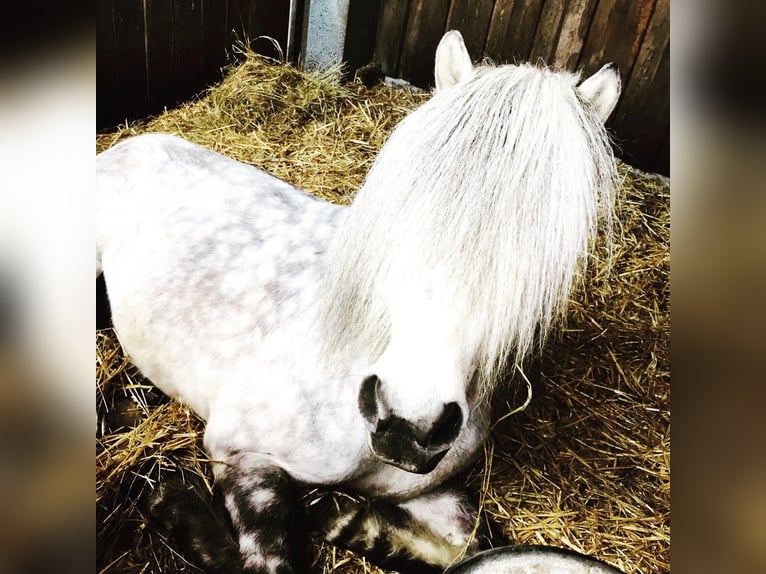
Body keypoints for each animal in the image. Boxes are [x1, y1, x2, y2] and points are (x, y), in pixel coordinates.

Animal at [96, 30, 624, 574]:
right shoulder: (241, 452)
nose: (410, 423)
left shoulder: (426, 489)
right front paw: (171, 501)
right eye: (407, 202)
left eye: (544, 243)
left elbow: (474, 541)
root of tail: (135, 142)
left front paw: (346, 521)